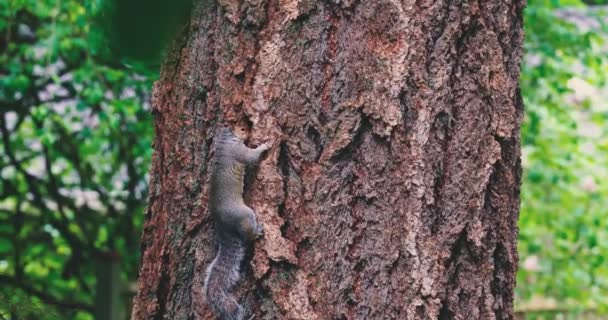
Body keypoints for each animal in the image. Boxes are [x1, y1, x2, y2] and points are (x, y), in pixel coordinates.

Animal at [204, 126, 270, 318]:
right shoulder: (239, 152)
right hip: (245, 215)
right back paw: (257, 232)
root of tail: (222, 227)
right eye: (239, 129)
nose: (245, 131)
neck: (223, 142)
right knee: (247, 235)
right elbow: (251, 156)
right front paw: (264, 145)